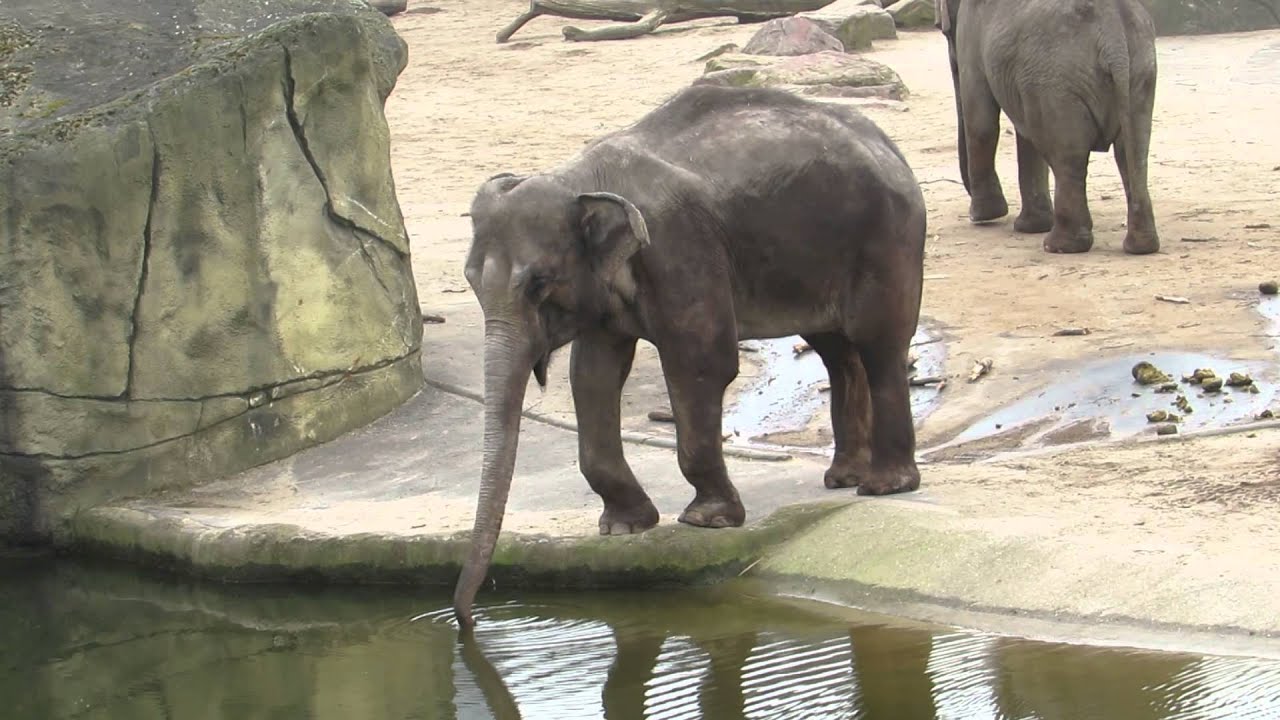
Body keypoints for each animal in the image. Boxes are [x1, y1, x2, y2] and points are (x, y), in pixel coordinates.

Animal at [452, 85, 926, 627]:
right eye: (470, 280)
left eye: (538, 284)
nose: (468, 620)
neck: (580, 179)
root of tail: (888, 144)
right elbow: (592, 374)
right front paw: (623, 529)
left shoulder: (678, 248)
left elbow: (701, 362)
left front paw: (708, 521)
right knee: (836, 349)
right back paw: (843, 478)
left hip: (887, 238)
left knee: (878, 343)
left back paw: (884, 486)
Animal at [935, 0, 1160, 255]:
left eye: (945, 32)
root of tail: (1114, 38)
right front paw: (1029, 226)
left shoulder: (971, 34)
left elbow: (981, 122)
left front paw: (984, 217)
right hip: (1140, 72)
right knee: (1133, 152)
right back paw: (1140, 247)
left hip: (1058, 81)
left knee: (1068, 157)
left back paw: (1058, 245)